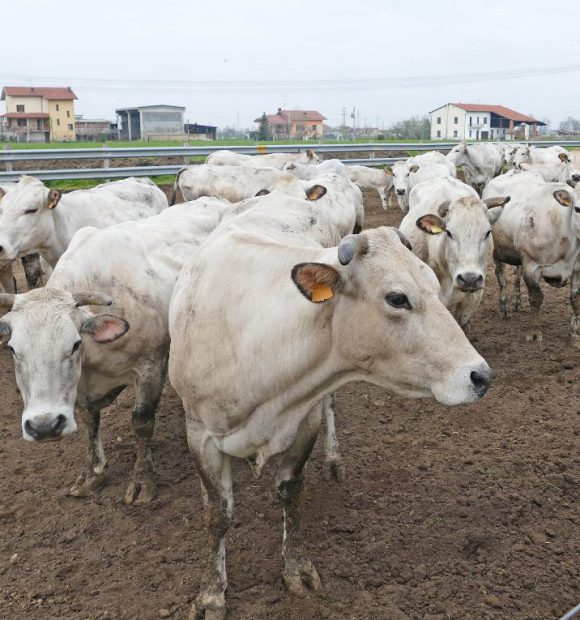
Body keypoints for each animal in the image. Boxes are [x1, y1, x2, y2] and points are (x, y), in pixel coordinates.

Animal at [0, 201, 233, 506]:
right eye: (13, 349)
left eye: (74, 344)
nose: (45, 426)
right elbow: (90, 422)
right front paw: (92, 473)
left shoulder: (149, 367)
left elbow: (142, 422)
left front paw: (143, 480)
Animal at [167, 219, 490, 616]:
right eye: (397, 298)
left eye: (431, 280)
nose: (480, 375)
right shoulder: (199, 434)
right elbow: (218, 513)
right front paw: (212, 594)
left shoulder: (306, 420)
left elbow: (291, 493)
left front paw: (296, 568)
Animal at [490, 182, 580, 342]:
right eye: (577, 209)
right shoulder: (532, 267)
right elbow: (536, 299)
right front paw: (534, 333)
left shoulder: (577, 268)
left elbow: (575, 300)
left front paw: (575, 333)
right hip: (498, 251)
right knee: (502, 278)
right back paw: (504, 309)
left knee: (516, 276)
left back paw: (517, 303)